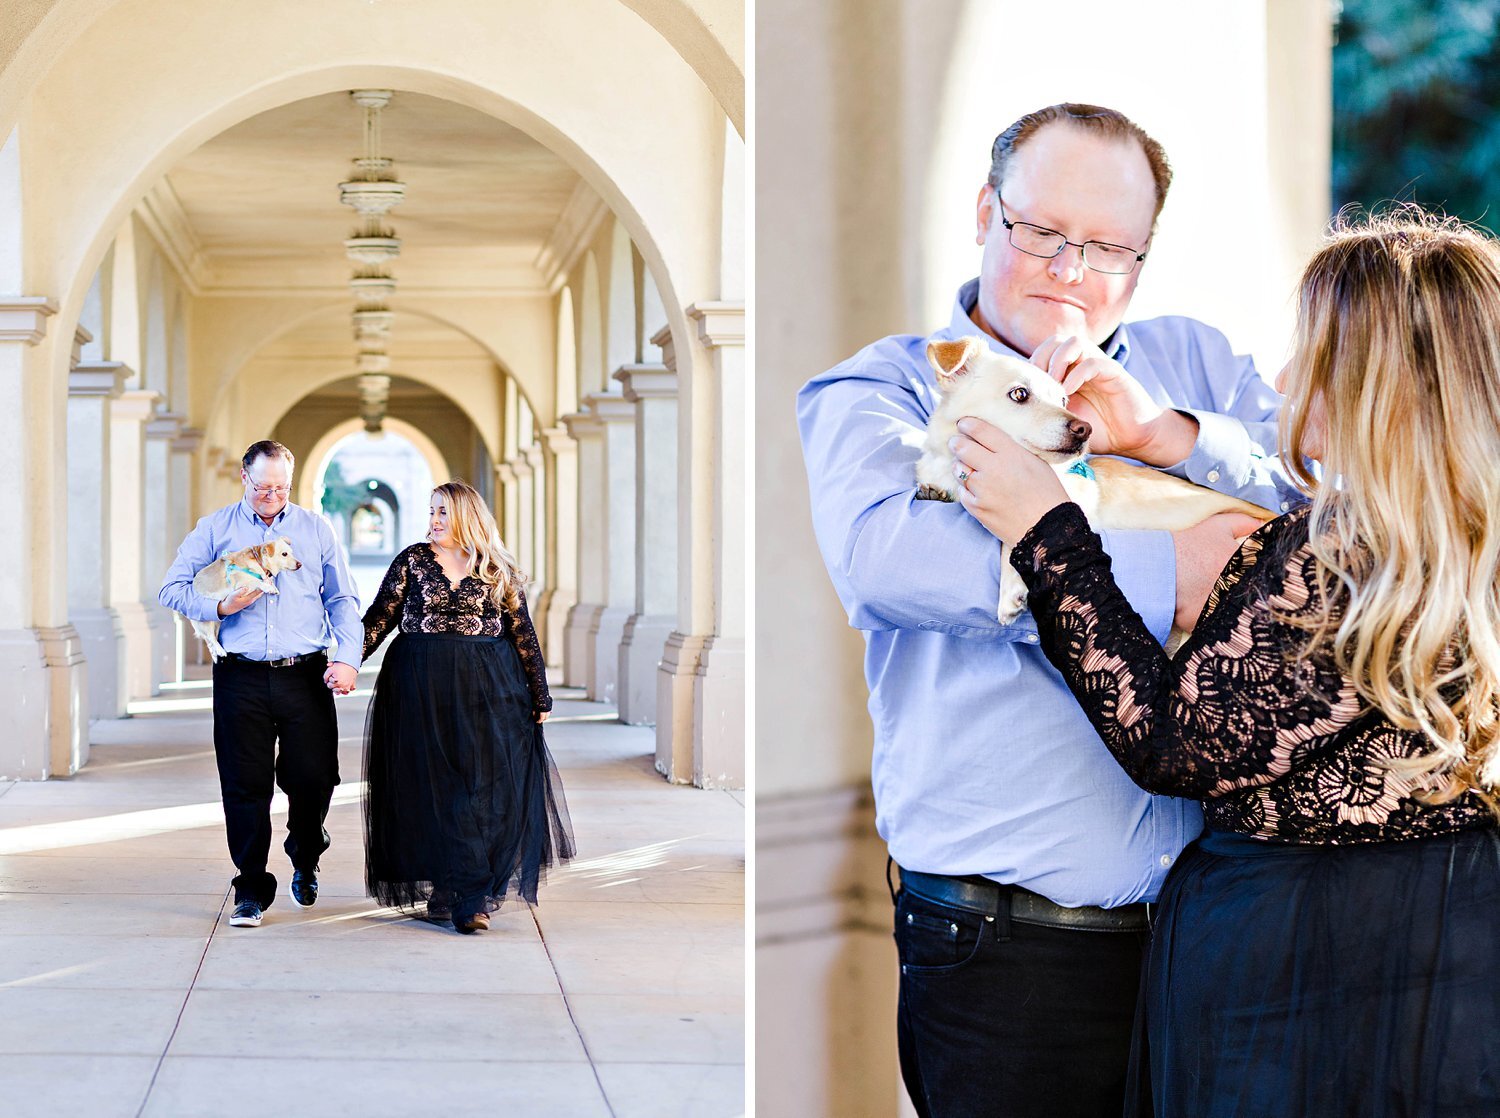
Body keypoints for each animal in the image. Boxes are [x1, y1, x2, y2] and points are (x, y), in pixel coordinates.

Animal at [912, 333, 1278, 636]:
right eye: (1019, 394)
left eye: (1064, 401)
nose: (1084, 428)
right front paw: (934, 491)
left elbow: (1016, 537)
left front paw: (1010, 588)